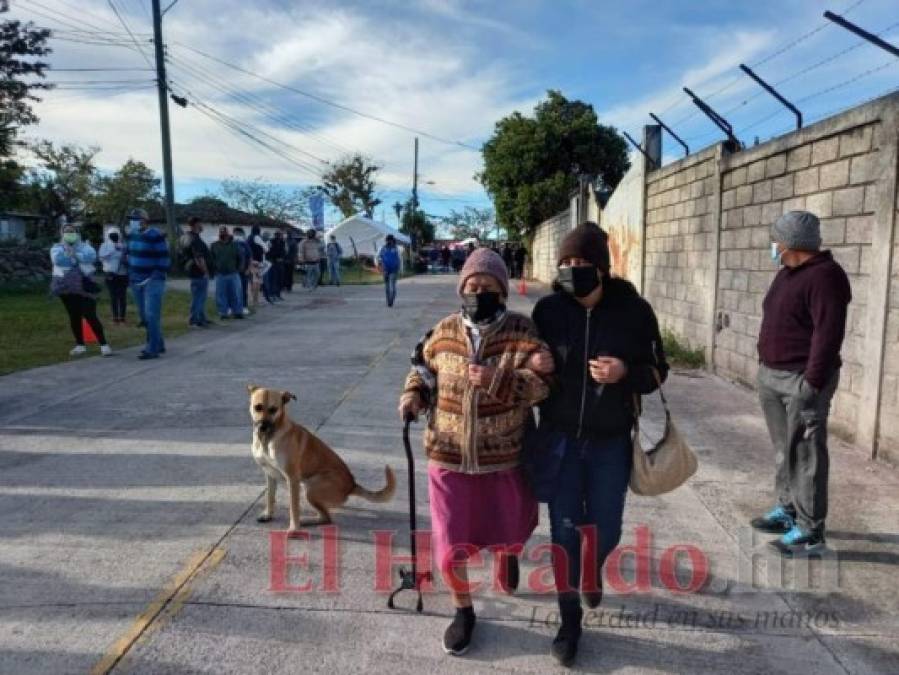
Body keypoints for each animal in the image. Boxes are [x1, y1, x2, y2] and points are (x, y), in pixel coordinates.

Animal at [250, 388, 398, 532]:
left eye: (273, 409)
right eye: (258, 407)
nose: (262, 427)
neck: (267, 439)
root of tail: (352, 485)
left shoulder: (292, 479)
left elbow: (294, 508)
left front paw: (294, 529)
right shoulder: (270, 474)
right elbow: (270, 497)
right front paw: (268, 514)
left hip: (311, 490)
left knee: (326, 518)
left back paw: (305, 521)